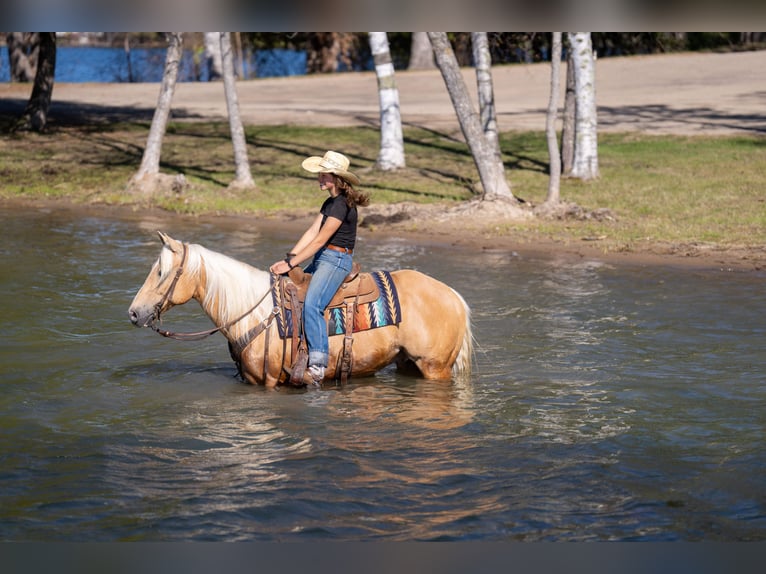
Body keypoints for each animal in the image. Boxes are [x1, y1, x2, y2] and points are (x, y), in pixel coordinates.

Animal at [128, 231, 473, 388]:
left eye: (161, 272)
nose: (133, 312)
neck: (255, 313)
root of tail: (454, 296)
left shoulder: (269, 382)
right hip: (407, 364)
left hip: (435, 368)